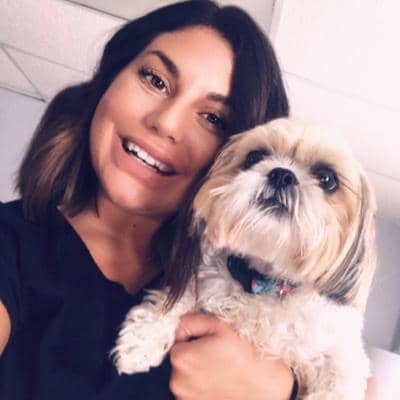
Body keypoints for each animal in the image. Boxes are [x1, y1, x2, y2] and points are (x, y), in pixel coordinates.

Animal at [112, 118, 376, 399]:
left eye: (327, 179)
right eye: (255, 156)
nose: (282, 174)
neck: (264, 283)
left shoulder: (340, 352)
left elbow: (339, 378)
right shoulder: (203, 282)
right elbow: (175, 298)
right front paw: (142, 340)